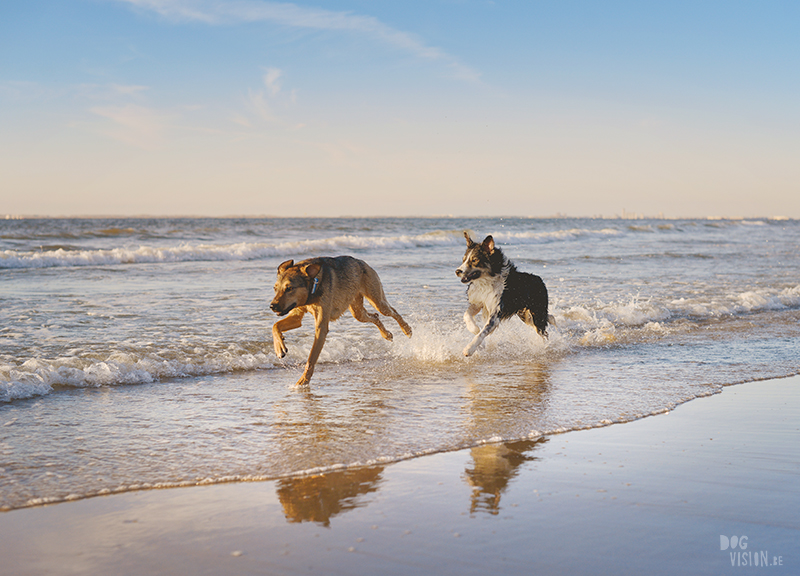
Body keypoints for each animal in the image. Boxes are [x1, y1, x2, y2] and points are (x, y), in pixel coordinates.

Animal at [270, 254, 412, 384]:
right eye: (275, 288)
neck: (312, 289)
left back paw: (407, 329)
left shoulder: (321, 327)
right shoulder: (296, 314)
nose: (272, 306)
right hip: (357, 311)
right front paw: (279, 348)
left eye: (289, 288)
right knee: (375, 316)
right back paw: (386, 334)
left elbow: (311, 359)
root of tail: (361, 262)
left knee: (393, 312)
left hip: (377, 301)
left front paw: (303, 381)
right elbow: (275, 326)